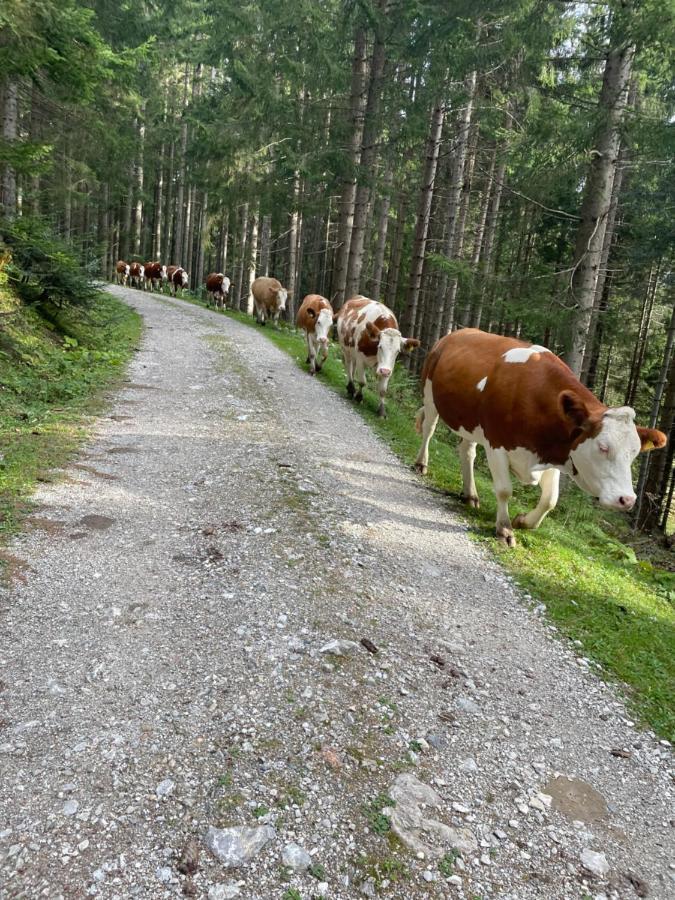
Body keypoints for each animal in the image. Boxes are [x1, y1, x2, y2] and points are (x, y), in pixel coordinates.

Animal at [414, 326, 668, 544]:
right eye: (603, 447)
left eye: (634, 454)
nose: (627, 499)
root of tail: (455, 333)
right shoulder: (497, 443)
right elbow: (504, 489)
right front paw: (504, 529)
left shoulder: (554, 453)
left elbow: (550, 500)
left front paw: (522, 521)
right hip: (430, 395)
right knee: (429, 430)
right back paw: (421, 464)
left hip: (470, 422)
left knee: (467, 451)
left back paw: (470, 495)